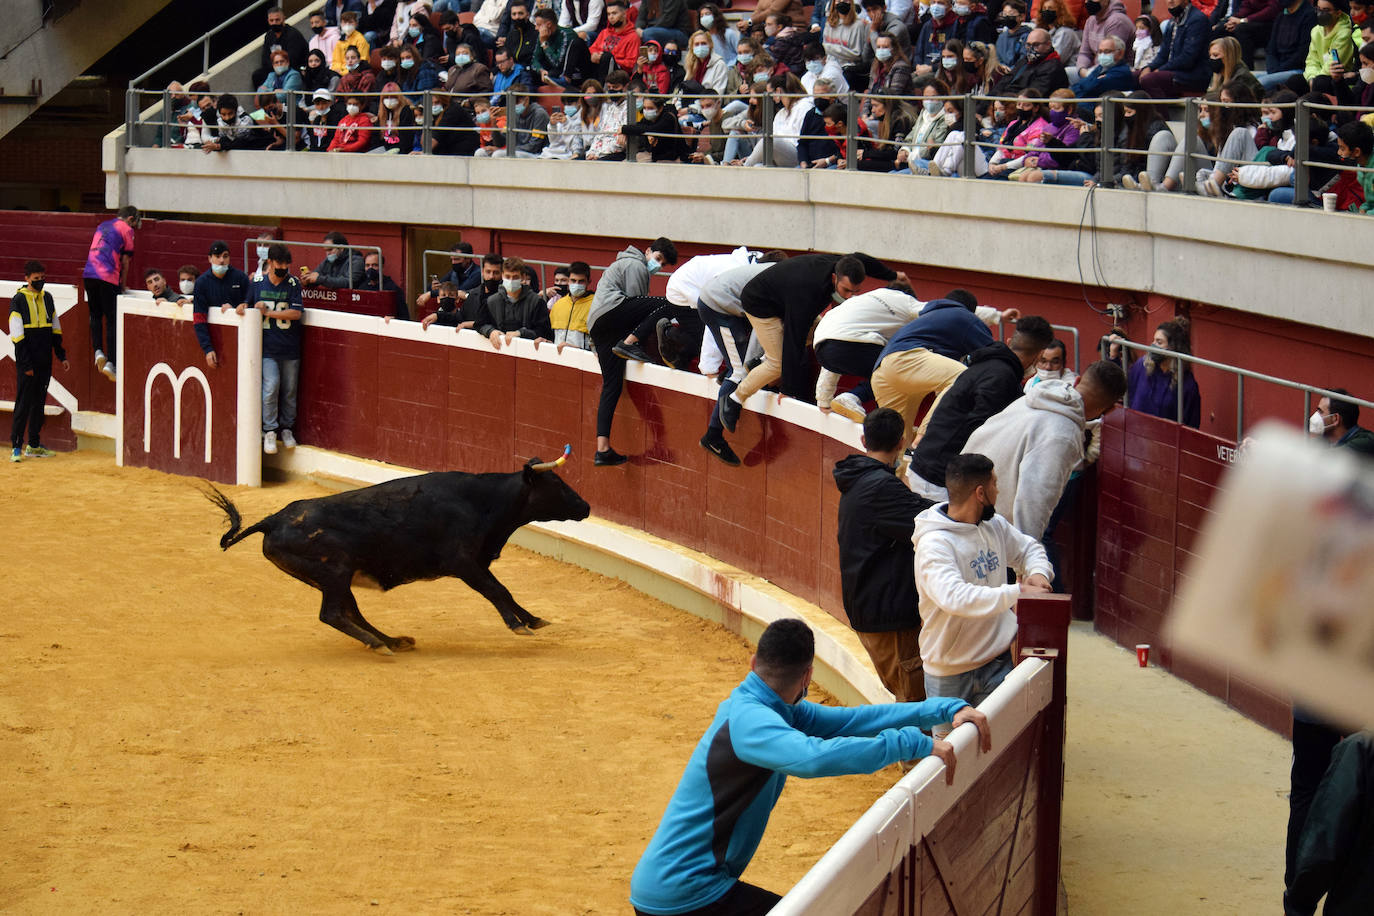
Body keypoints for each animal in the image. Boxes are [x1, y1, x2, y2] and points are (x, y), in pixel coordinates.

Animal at [208, 458, 590, 650]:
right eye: (557, 485)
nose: (586, 507)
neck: (482, 501)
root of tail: (272, 520)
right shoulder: (463, 563)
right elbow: (496, 590)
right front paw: (520, 625)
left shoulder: (478, 562)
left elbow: (504, 590)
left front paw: (534, 619)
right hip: (334, 572)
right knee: (332, 614)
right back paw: (379, 645)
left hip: (335, 578)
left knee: (349, 611)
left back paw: (391, 640)